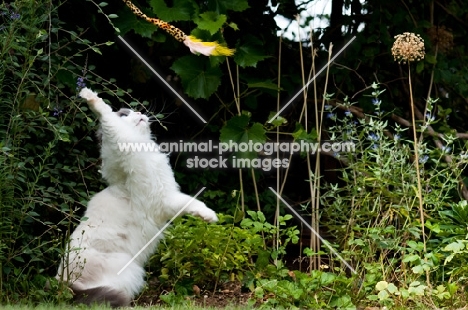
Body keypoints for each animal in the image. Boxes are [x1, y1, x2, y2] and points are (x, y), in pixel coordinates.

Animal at [56, 87, 218, 308]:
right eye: (124, 115)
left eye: (134, 111)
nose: (140, 113)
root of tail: (62, 286)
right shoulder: (163, 197)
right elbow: (106, 116)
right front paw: (89, 96)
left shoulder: (166, 199)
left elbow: (190, 203)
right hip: (130, 268)